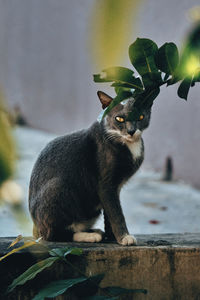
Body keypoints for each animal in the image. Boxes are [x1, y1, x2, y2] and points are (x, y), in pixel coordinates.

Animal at [27, 91, 150, 246]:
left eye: (141, 117)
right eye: (119, 118)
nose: (131, 131)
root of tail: (36, 229)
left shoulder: (114, 189)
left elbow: (110, 213)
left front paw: (112, 237)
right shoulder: (105, 185)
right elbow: (116, 213)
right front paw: (124, 237)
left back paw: (94, 231)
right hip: (58, 187)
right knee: (54, 235)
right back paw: (89, 236)